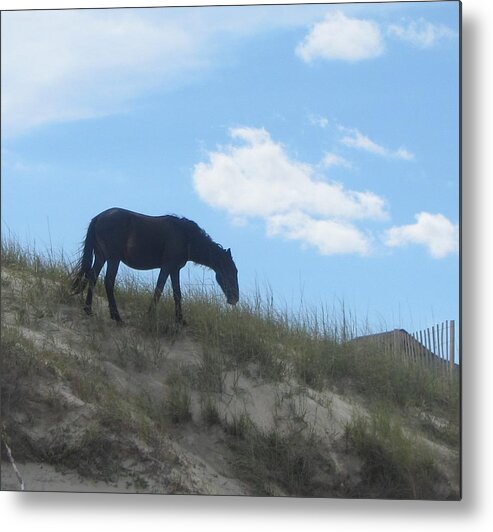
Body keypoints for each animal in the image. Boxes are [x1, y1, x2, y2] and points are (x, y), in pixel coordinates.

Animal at [71, 208, 238, 324]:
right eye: (230, 273)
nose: (234, 299)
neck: (186, 237)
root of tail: (99, 217)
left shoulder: (175, 269)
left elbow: (177, 294)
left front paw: (180, 320)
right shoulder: (167, 267)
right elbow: (159, 290)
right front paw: (150, 315)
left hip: (101, 257)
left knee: (92, 277)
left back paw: (89, 310)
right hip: (113, 259)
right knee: (108, 282)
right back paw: (117, 317)